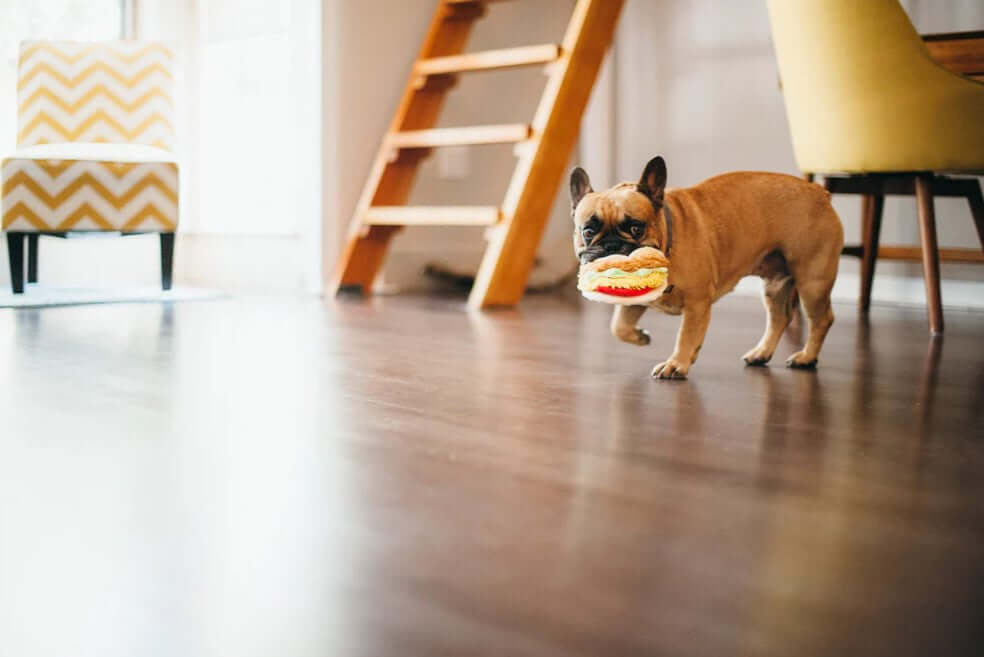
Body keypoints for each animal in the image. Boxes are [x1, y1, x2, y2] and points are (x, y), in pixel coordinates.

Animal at [572, 156, 840, 376]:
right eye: (588, 231)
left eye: (636, 228)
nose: (611, 245)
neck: (669, 243)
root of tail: (819, 192)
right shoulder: (636, 299)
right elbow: (618, 326)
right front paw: (640, 337)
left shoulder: (697, 304)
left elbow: (686, 336)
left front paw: (676, 364)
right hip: (776, 284)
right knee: (780, 317)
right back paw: (761, 353)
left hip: (812, 282)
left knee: (821, 320)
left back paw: (806, 358)